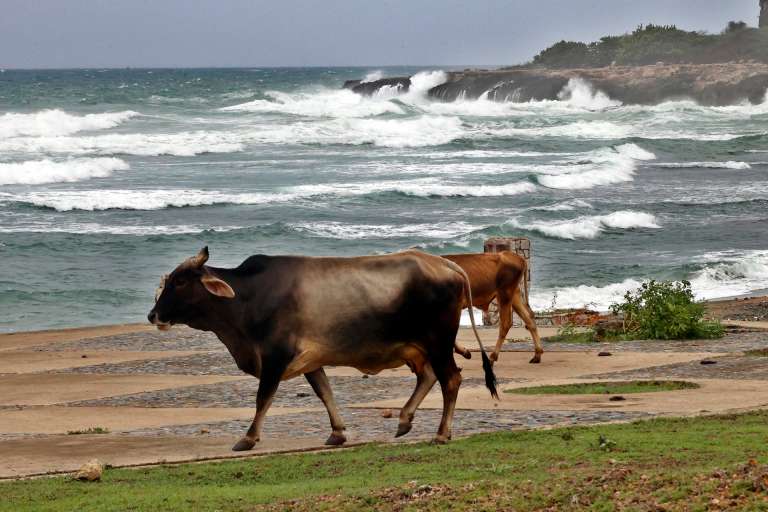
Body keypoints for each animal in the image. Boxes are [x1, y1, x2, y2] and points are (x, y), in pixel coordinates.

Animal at [148, 247, 497, 450]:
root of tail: (446, 264)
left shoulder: (275, 357)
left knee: (450, 379)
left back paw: (441, 432)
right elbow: (325, 393)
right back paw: (404, 420)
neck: (247, 298)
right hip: (419, 348)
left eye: (180, 282)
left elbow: (263, 398)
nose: (153, 315)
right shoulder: (310, 361)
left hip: (437, 343)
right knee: (429, 378)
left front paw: (247, 438)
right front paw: (338, 433)